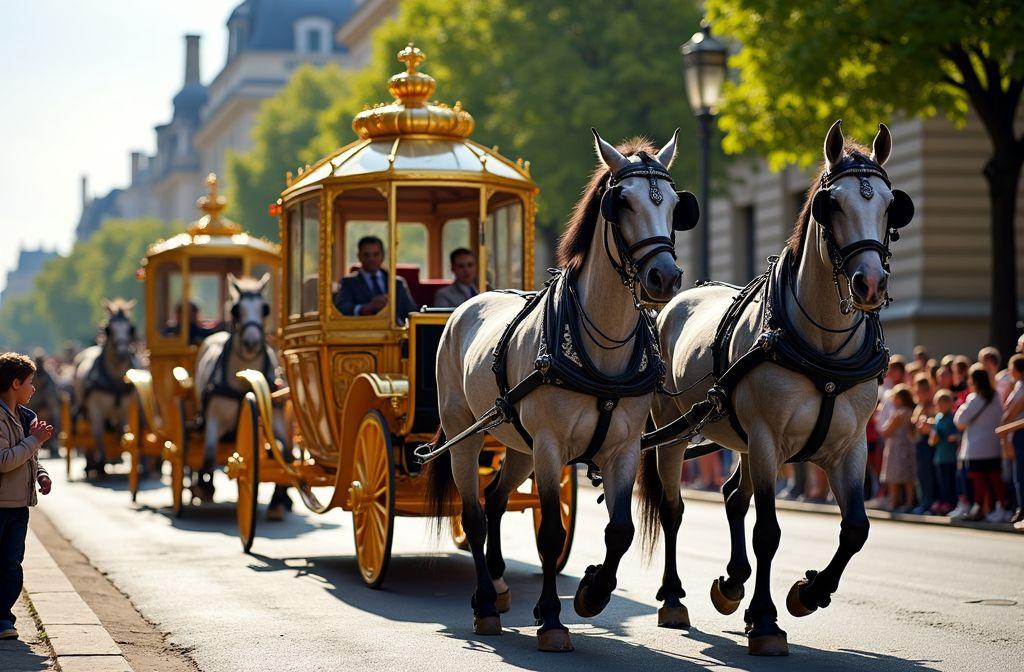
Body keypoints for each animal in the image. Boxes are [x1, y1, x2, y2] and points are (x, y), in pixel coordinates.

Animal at [72, 299, 139, 477]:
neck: (114, 378)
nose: (122, 354)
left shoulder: (124, 410)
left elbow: (120, 432)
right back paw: (91, 463)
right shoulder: (95, 409)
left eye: (130, 328)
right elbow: (97, 434)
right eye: (109, 329)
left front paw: (117, 456)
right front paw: (100, 463)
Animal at [192, 274, 291, 519]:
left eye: (265, 308)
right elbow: (209, 453)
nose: (251, 342)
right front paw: (205, 487)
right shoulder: (214, 418)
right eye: (236, 309)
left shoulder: (275, 417)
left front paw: (278, 499)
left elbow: (285, 454)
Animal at [425, 129, 699, 652]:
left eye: (678, 207)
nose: (665, 277)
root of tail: (463, 307)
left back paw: (500, 583)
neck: (603, 347)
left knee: (495, 499)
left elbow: (620, 530)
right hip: (466, 435)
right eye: (622, 202)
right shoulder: (551, 447)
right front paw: (551, 618)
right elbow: (550, 534)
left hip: (518, 446)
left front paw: (593, 592)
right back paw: (485, 604)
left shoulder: (622, 448)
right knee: (473, 514)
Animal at [640, 120, 915, 656]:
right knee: (673, 509)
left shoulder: (850, 446)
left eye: (891, 205)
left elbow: (856, 528)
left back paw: (732, 585)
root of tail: (671, 302)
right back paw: (675, 596)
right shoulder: (768, 440)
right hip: (674, 431)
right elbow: (767, 531)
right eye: (833, 205)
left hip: (741, 438)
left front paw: (808, 592)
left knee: (732, 496)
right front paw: (766, 620)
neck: (822, 350)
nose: (870, 284)